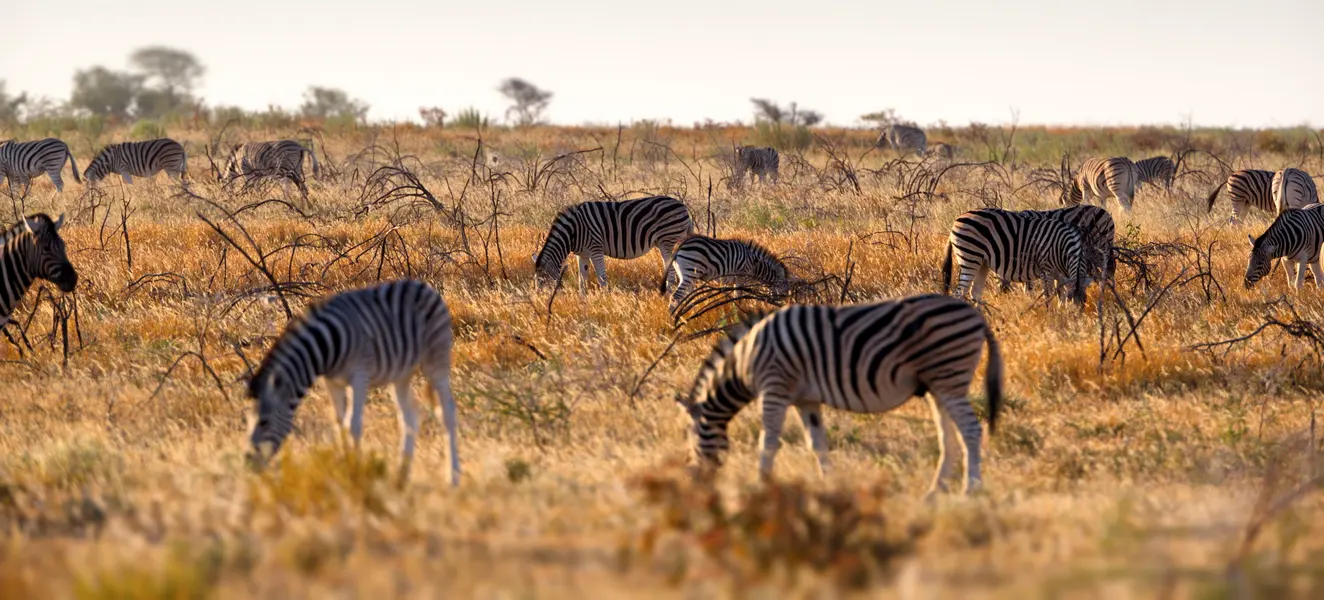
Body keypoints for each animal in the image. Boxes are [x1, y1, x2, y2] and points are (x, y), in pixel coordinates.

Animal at [246, 279, 460, 486]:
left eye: (264, 422)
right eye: (248, 421)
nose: (249, 462)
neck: (328, 347)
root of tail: (422, 285)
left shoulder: (359, 376)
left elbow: (353, 424)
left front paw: (355, 472)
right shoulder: (333, 382)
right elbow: (339, 423)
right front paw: (345, 467)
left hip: (436, 359)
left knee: (448, 411)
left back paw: (453, 477)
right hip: (401, 375)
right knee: (409, 417)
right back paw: (401, 477)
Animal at [532, 195, 694, 295]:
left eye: (541, 280)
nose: (540, 299)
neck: (572, 232)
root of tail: (684, 207)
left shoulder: (595, 249)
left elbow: (602, 278)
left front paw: (606, 298)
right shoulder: (582, 254)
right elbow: (582, 279)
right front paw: (582, 301)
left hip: (667, 241)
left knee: (671, 272)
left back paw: (668, 294)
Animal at [659, 235, 790, 308]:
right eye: (785, 290)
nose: (784, 305)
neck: (754, 264)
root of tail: (680, 245)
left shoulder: (734, 280)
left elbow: (734, 295)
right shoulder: (741, 276)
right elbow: (739, 295)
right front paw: (738, 311)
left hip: (686, 274)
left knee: (686, 296)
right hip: (690, 272)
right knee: (675, 297)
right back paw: (672, 319)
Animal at [677, 294, 1003, 499]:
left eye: (690, 437)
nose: (694, 482)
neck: (745, 361)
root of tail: (976, 315)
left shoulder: (775, 387)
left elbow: (768, 442)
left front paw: (761, 485)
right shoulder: (805, 399)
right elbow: (817, 444)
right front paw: (829, 484)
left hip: (949, 376)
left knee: (971, 431)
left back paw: (971, 490)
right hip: (938, 384)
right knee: (950, 439)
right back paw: (934, 494)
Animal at [942, 208, 1086, 305]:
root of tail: (956, 220)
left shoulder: (1059, 274)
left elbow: (1061, 293)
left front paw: (1060, 312)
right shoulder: (1046, 269)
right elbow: (1049, 295)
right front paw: (1052, 315)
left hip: (982, 262)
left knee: (975, 293)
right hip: (970, 256)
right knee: (960, 292)